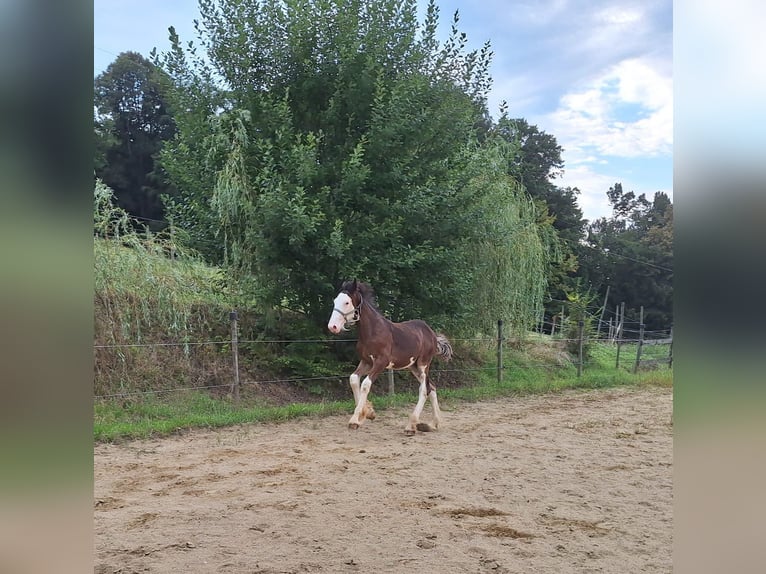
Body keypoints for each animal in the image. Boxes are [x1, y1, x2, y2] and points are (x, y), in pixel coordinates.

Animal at [328, 280, 452, 436]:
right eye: (334, 301)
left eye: (346, 302)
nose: (332, 327)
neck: (373, 332)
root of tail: (432, 334)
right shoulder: (366, 362)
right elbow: (354, 379)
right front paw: (368, 413)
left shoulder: (381, 362)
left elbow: (365, 384)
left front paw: (355, 420)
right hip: (413, 367)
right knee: (432, 388)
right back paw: (432, 424)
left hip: (423, 365)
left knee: (424, 390)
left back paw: (411, 426)